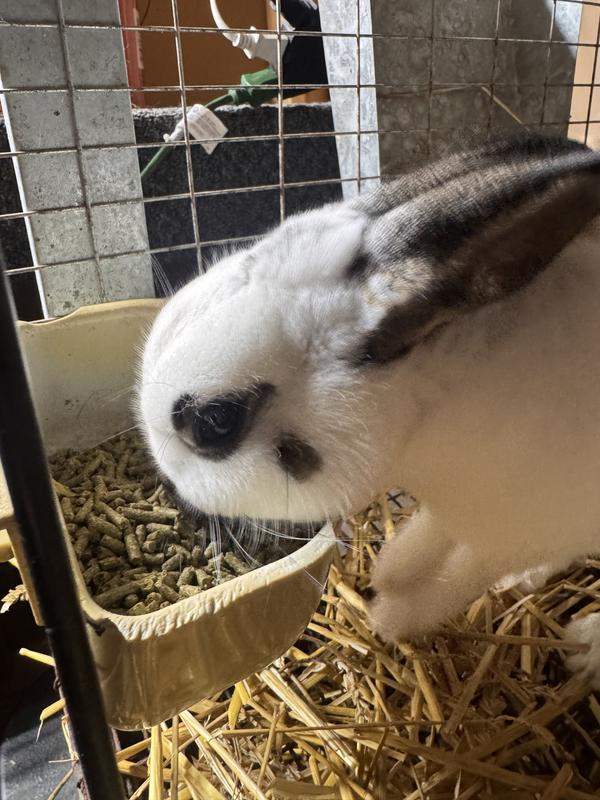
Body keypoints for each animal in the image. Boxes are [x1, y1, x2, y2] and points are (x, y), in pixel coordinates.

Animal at [138, 134, 600, 686]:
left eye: (216, 422)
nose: (167, 484)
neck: (436, 395)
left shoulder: (517, 527)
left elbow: (457, 579)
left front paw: (389, 617)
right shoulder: (455, 513)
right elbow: (429, 541)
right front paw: (391, 571)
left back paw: (583, 647)